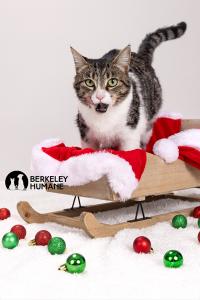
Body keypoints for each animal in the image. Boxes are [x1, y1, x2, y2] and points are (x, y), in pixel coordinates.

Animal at [71, 21, 187, 150]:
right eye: (89, 82)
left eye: (112, 82)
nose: (99, 96)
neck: (104, 119)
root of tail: (141, 57)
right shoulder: (86, 136)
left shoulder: (130, 134)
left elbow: (130, 150)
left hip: (149, 122)